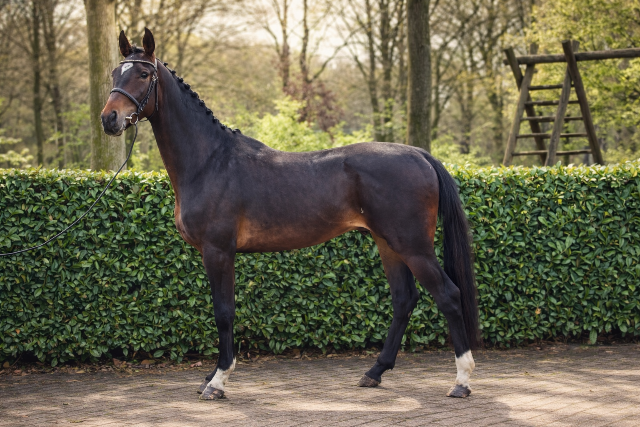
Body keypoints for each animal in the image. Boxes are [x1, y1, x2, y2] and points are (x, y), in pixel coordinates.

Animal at [101, 28, 480, 400]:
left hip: (413, 246)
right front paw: (210, 376)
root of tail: (420, 155)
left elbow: (224, 313)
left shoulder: (218, 251)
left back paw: (461, 381)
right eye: (115, 74)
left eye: (144, 74)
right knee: (404, 299)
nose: (109, 119)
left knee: (448, 295)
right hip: (388, 244)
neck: (210, 162)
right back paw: (374, 373)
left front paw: (218, 381)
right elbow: (221, 311)